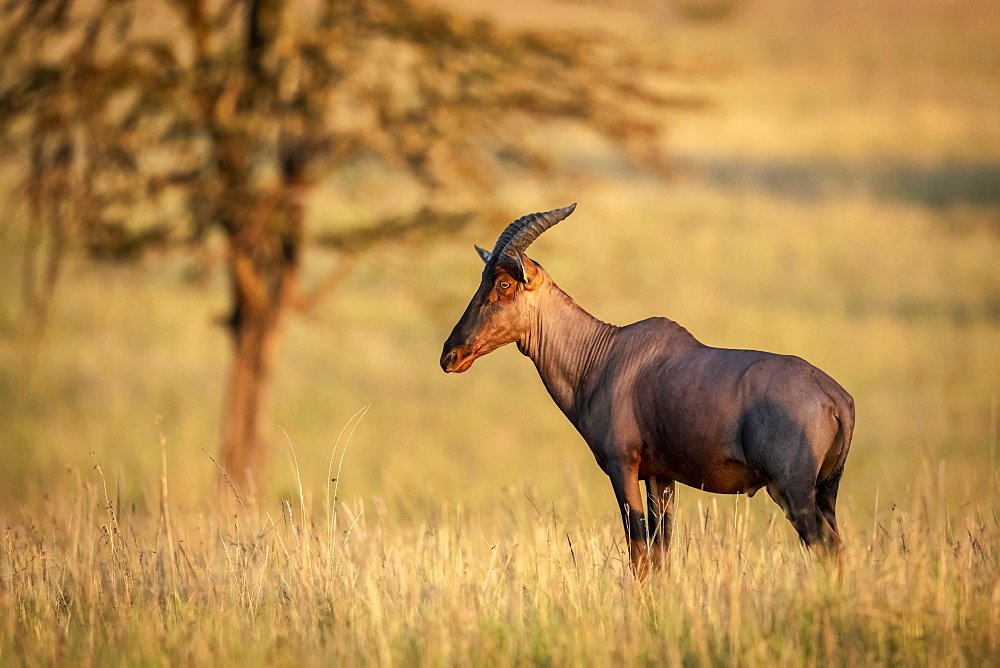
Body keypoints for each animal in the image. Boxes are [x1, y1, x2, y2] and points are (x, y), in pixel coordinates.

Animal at [442, 204, 856, 580]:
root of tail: (835, 398)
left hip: (792, 491)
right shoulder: (661, 477)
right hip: (826, 491)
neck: (606, 353)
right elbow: (661, 556)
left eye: (504, 283)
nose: (451, 355)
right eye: (483, 279)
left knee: (828, 549)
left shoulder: (622, 467)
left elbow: (638, 553)